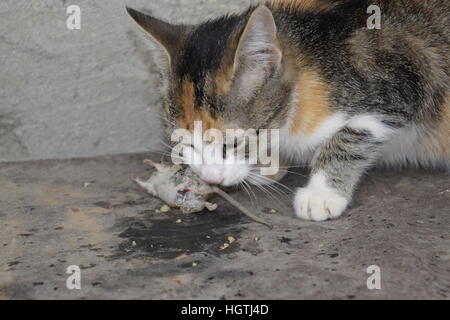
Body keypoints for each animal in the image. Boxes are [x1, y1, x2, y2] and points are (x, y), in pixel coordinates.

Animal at [126, 0, 450, 221]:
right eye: (185, 143)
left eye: (233, 143)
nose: (212, 180)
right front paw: (267, 168)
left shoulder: (404, 79)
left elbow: (353, 134)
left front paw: (322, 193)